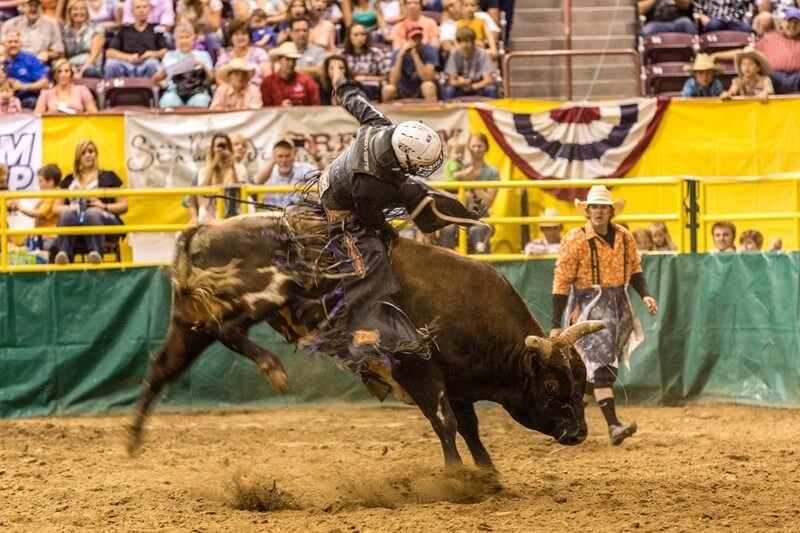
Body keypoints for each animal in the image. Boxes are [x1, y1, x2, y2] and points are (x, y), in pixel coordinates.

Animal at [126, 208, 600, 470]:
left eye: (581, 382)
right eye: (552, 384)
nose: (578, 433)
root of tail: (204, 230)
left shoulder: (456, 380)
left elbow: (468, 426)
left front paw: (487, 472)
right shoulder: (418, 365)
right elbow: (445, 421)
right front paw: (457, 475)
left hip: (186, 322)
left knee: (163, 366)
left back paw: (132, 435)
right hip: (261, 293)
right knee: (225, 329)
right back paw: (272, 368)